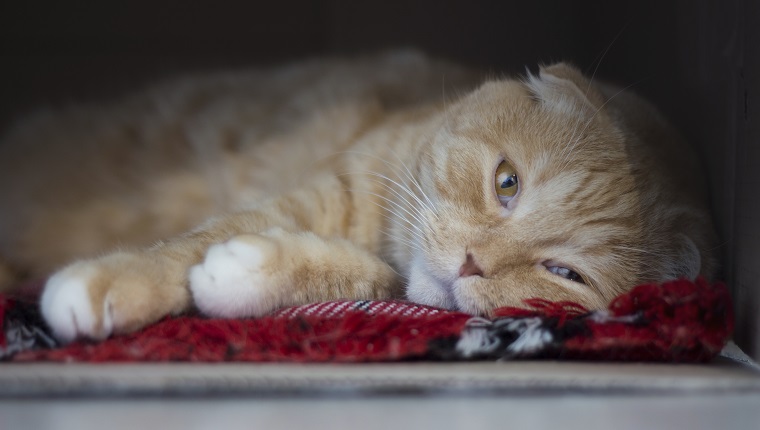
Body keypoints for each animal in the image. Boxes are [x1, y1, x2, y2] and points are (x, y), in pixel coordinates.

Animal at [0, 51, 716, 342]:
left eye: (564, 273)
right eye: (507, 182)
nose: (471, 263)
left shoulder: (380, 273)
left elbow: (345, 273)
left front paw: (246, 272)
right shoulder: (325, 190)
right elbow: (192, 242)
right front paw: (120, 280)